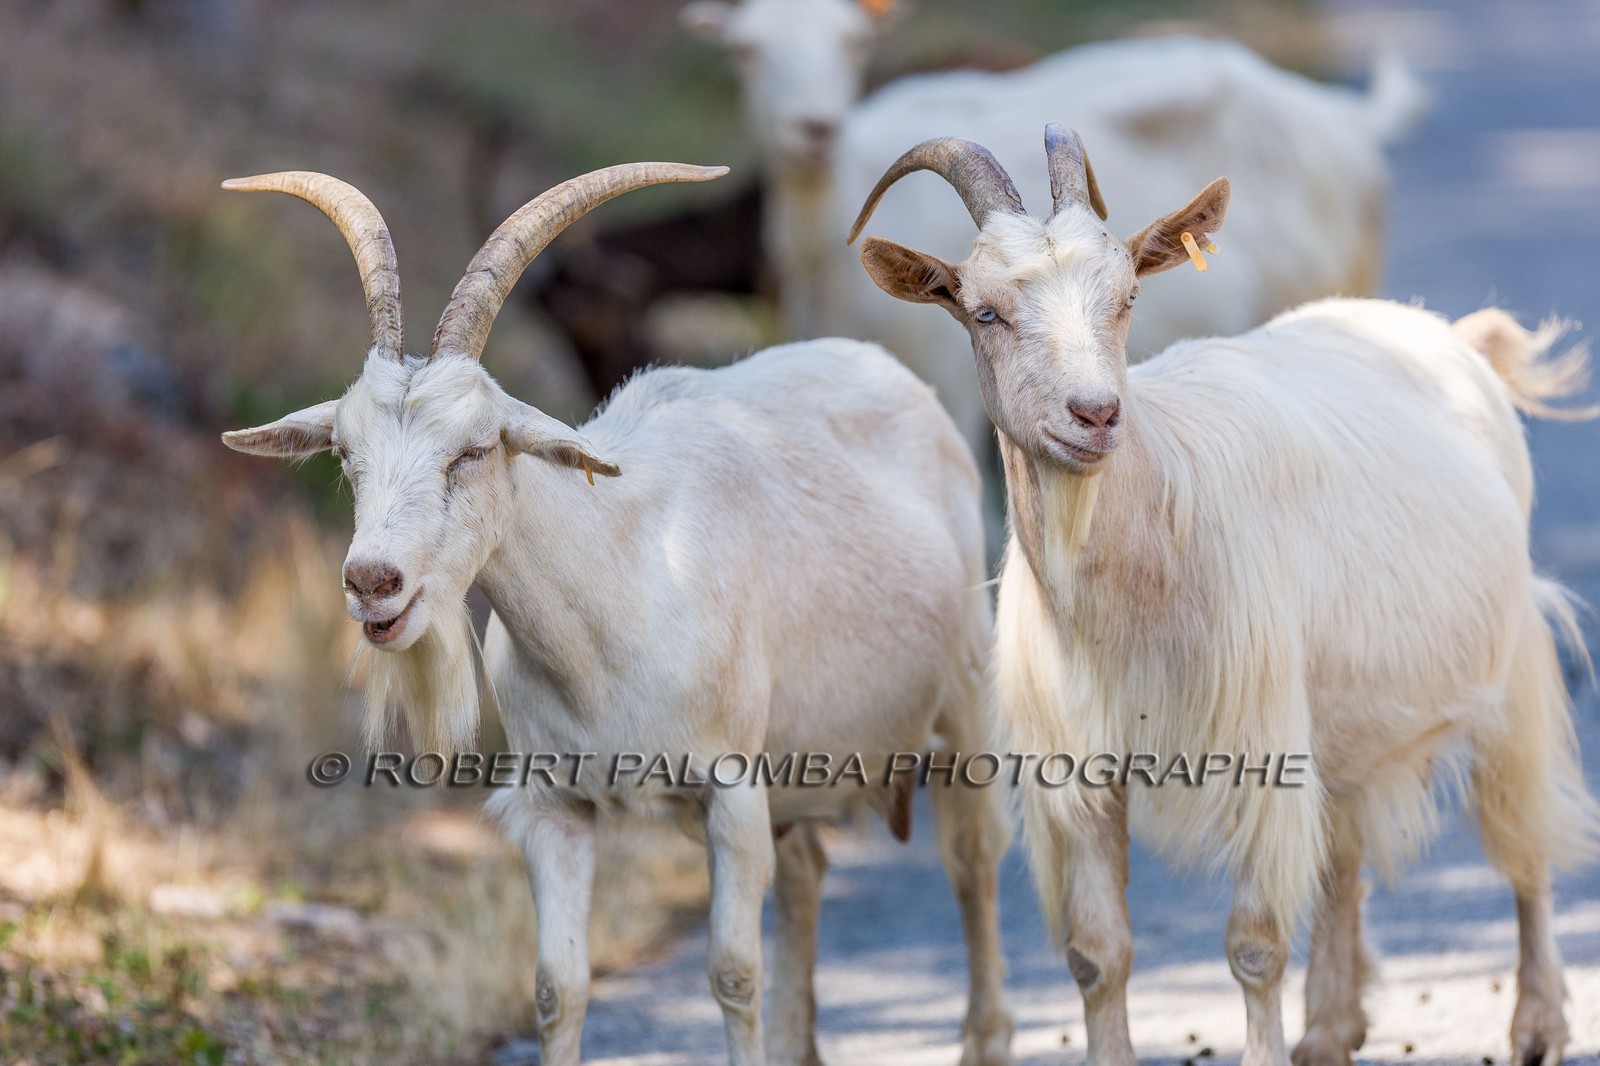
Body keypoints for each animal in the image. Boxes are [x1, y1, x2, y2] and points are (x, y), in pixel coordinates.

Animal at [219, 167, 1013, 1066]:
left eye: (473, 450)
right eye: (346, 456)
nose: (372, 581)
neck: (613, 604)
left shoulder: (731, 791)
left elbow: (733, 973)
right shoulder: (553, 807)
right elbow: (557, 988)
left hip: (965, 689)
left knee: (973, 857)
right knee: (810, 867)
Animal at [850, 127, 1599, 1066]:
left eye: (1128, 297)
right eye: (985, 312)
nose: (1095, 413)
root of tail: (1446, 333)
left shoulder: (1255, 740)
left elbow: (1255, 945)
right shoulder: (1077, 766)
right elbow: (1096, 954)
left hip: (1506, 660)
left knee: (1521, 833)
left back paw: (1534, 1022)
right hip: (1342, 707)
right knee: (1344, 855)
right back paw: (1332, 1027)